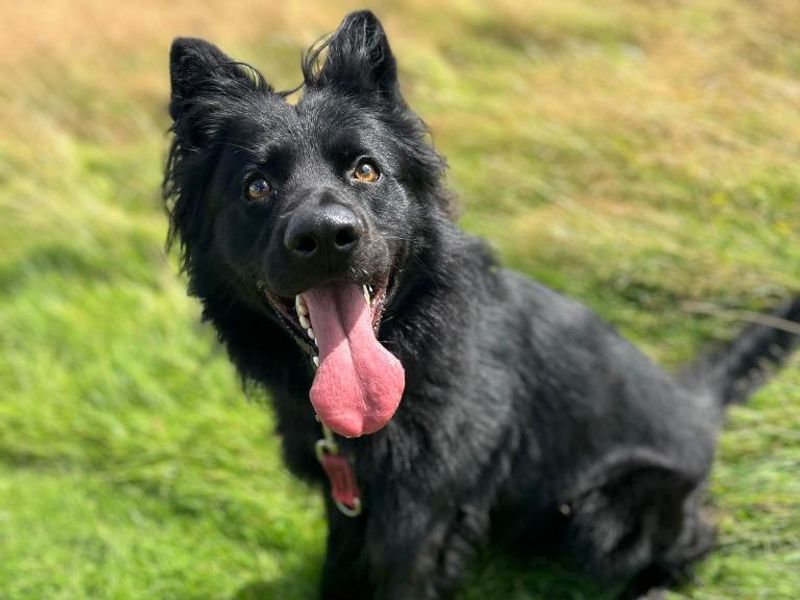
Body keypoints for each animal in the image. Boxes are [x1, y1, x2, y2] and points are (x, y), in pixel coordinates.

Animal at [164, 10, 800, 600]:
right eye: (256, 187)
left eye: (365, 170)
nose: (325, 236)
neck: (410, 345)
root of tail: (696, 406)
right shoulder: (346, 500)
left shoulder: (421, 517)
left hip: (610, 516)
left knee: (695, 538)